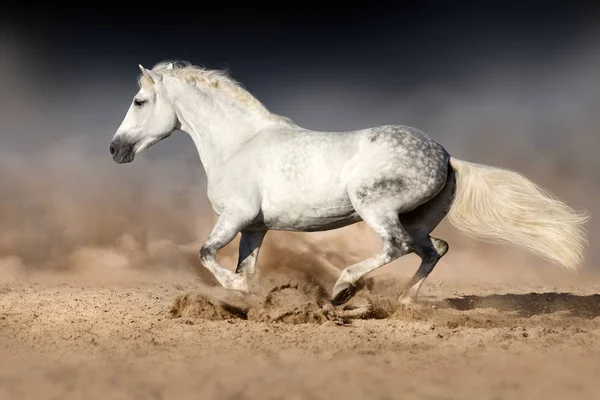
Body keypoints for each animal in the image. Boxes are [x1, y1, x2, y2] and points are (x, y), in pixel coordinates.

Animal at [109, 61, 592, 306]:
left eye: (140, 101)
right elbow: (244, 267)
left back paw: (344, 290)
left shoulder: (235, 218)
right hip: (416, 218)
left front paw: (238, 292)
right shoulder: (254, 227)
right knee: (434, 250)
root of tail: (446, 155)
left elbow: (207, 254)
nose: (116, 150)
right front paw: (249, 300)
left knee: (397, 247)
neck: (239, 144)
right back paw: (401, 302)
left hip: (375, 208)